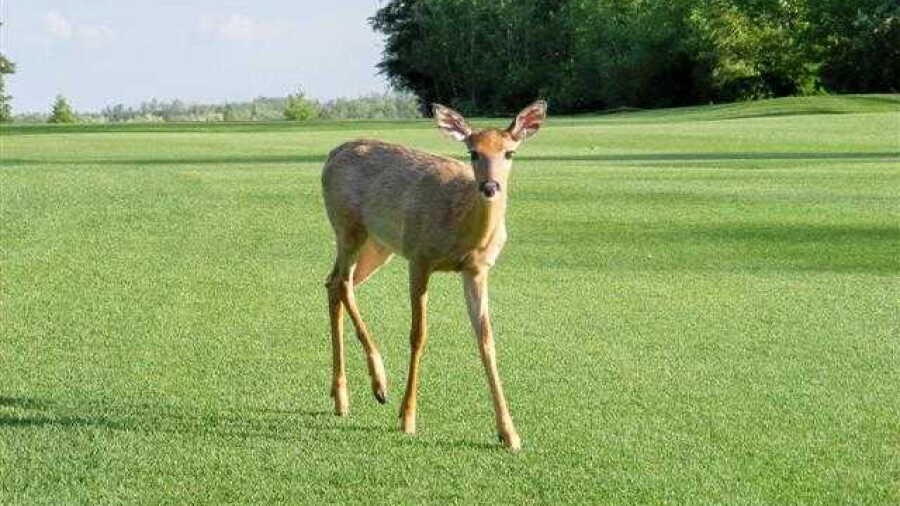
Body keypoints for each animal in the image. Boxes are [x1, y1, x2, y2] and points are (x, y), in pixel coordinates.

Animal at [321, 100, 547, 450]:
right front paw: (407, 417)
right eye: (472, 152)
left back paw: (341, 397)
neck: (462, 228)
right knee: (342, 283)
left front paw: (509, 433)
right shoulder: (419, 257)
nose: (490, 187)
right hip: (347, 225)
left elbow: (486, 340)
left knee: (333, 282)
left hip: (379, 245)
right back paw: (378, 385)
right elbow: (418, 335)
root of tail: (332, 155)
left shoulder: (477, 270)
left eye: (510, 152)